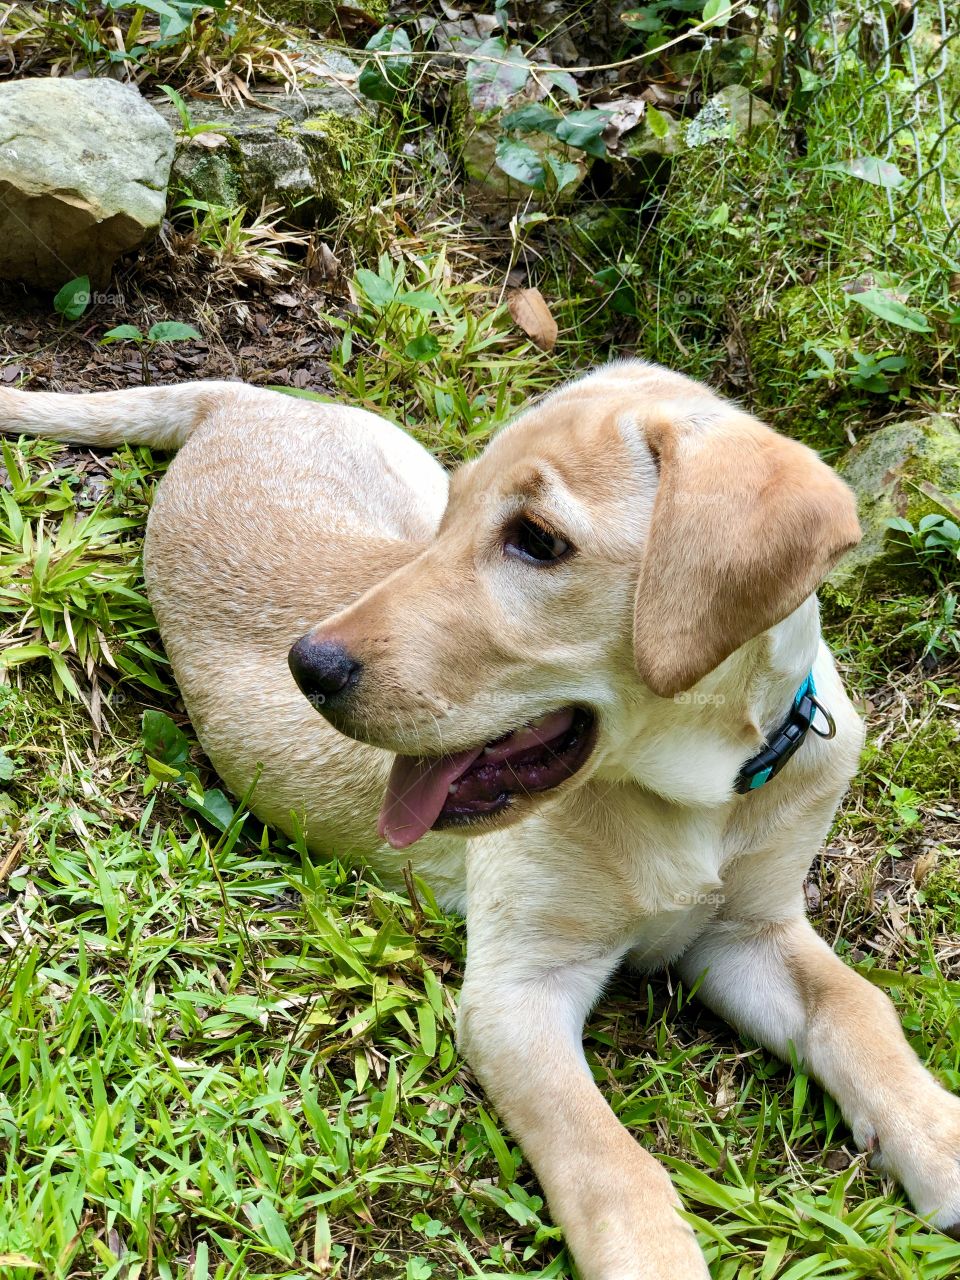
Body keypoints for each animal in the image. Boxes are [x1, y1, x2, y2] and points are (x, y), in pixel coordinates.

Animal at [3, 363, 957, 1280]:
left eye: (538, 541)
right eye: (463, 524)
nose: (307, 665)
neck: (695, 796)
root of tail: (236, 402)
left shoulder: (750, 933)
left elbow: (856, 1008)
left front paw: (939, 1140)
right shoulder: (516, 996)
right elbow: (607, 1162)